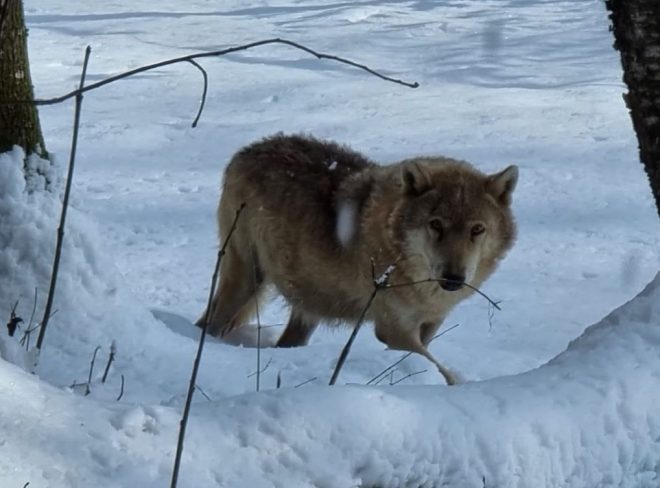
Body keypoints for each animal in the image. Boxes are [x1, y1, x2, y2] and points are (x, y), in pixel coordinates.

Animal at [198, 134, 518, 384]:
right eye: (436, 225)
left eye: (477, 229)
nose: (453, 279)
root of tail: (246, 150)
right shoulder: (392, 329)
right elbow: (442, 371)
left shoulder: (430, 323)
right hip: (245, 280)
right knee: (209, 323)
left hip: (306, 306)